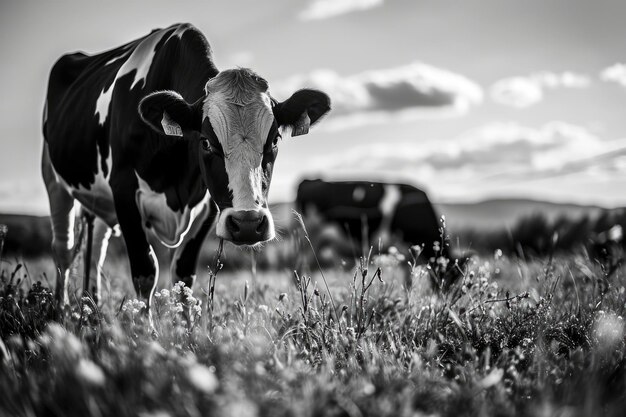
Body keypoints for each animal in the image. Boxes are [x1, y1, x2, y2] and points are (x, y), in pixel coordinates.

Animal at [41, 24, 330, 308]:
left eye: (275, 140)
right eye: (205, 142)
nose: (248, 223)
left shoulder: (209, 204)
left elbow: (183, 274)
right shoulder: (123, 189)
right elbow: (145, 272)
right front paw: (144, 325)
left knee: (97, 249)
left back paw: (92, 306)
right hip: (54, 182)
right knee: (62, 249)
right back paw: (62, 309)